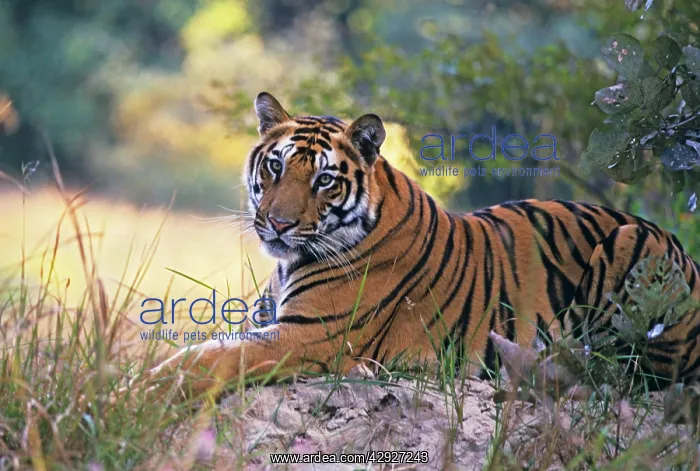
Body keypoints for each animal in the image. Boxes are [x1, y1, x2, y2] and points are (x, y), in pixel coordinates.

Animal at [142, 92, 700, 399]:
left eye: (324, 180)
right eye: (275, 166)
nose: (277, 225)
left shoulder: (307, 338)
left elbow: (209, 358)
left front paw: (142, 388)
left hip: (633, 244)